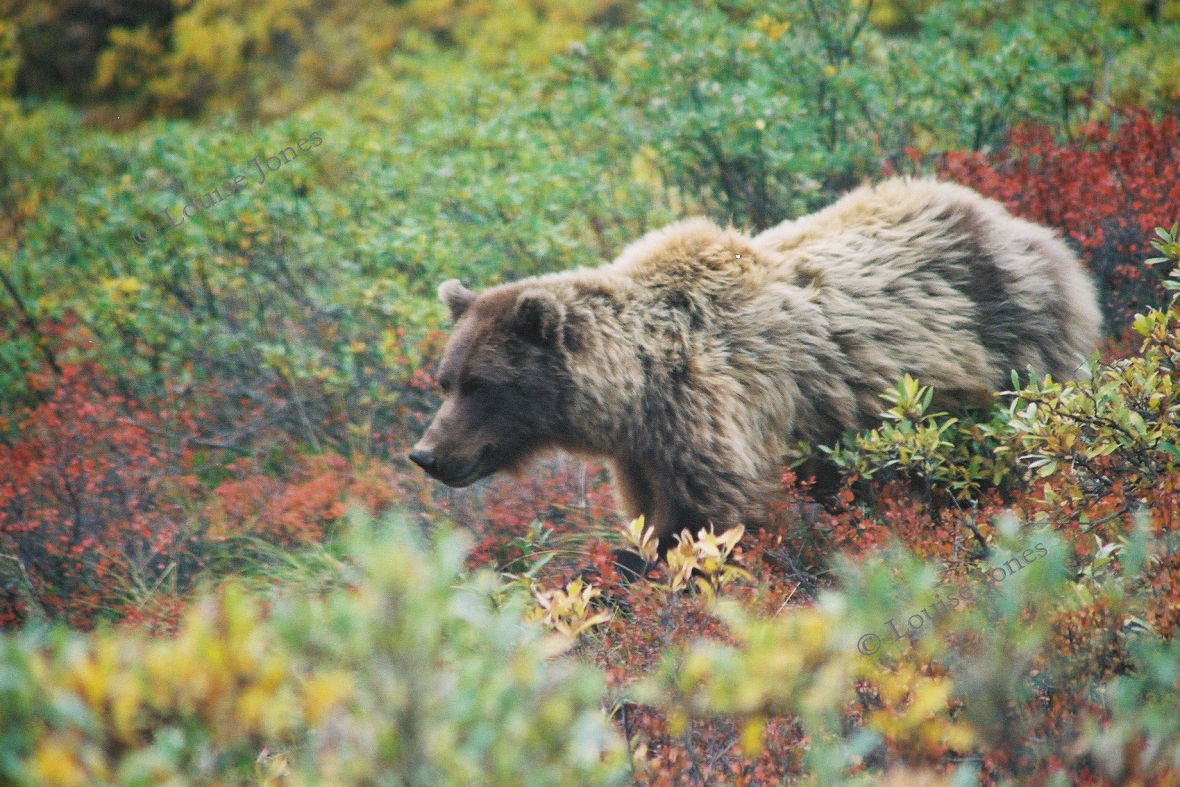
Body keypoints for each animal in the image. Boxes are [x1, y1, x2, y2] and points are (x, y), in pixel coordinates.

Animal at [410, 180, 1099, 554]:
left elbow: (711, 526)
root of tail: (1027, 227)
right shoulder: (643, 456)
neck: (635, 398)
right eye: (445, 380)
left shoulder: (715, 417)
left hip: (1014, 353)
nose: (426, 454)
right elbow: (653, 525)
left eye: (482, 385)